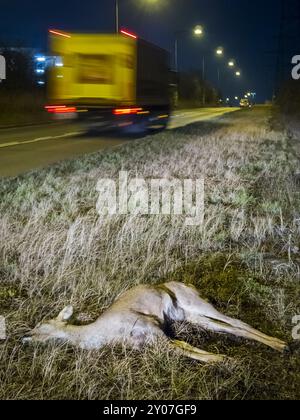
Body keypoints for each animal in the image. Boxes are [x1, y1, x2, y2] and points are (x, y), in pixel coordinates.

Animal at [22, 282, 286, 364]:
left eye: (41, 325)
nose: (23, 338)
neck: (104, 333)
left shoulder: (152, 329)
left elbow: (187, 350)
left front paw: (222, 359)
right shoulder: (155, 340)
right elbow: (185, 349)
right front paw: (222, 358)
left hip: (197, 304)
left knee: (235, 320)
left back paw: (281, 344)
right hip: (191, 316)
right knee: (226, 326)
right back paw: (279, 345)